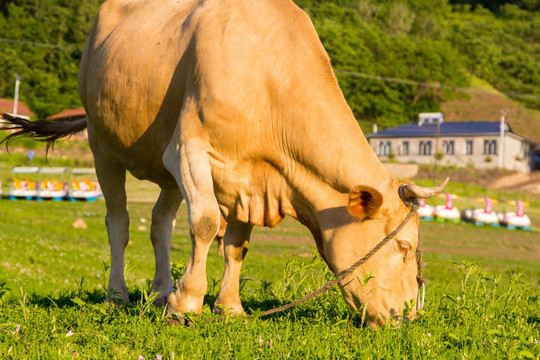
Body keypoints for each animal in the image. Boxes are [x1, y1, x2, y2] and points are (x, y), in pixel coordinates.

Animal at [1, 0, 448, 326]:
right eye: (405, 246)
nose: (408, 316)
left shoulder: (254, 178)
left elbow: (237, 243)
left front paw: (228, 306)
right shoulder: (188, 149)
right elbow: (205, 223)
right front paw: (187, 303)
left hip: (164, 169)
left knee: (160, 224)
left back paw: (161, 289)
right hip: (103, 145)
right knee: (119, 222)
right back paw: (118, 294)